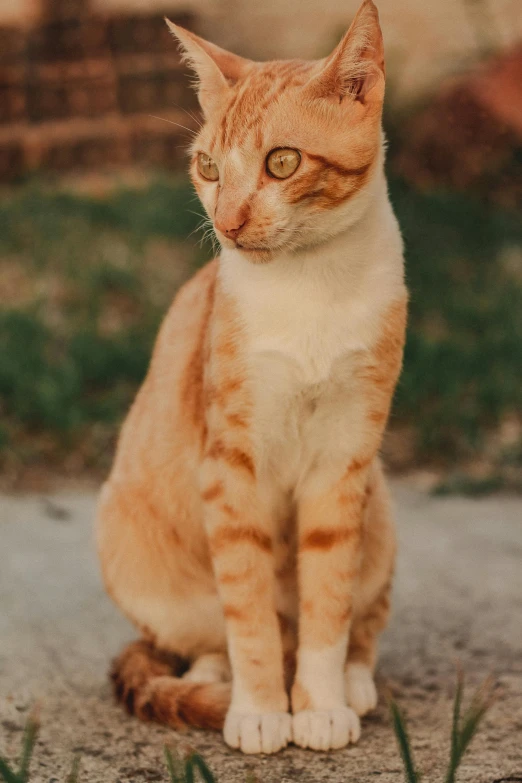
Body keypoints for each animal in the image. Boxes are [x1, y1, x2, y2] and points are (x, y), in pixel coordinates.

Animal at [96, 1, 406, 760]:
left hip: (380, 506)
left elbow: (328, 598)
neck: (312, 286)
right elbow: (249, 608)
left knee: (364, 617)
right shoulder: (231, 465)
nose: (228, 222)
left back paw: (354, 679)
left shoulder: (345, 459)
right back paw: (217, 679)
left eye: (282, 161)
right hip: (130, 547)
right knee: (202, 637)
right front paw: (263, 708)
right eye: (207, 166)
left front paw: (319, 704)